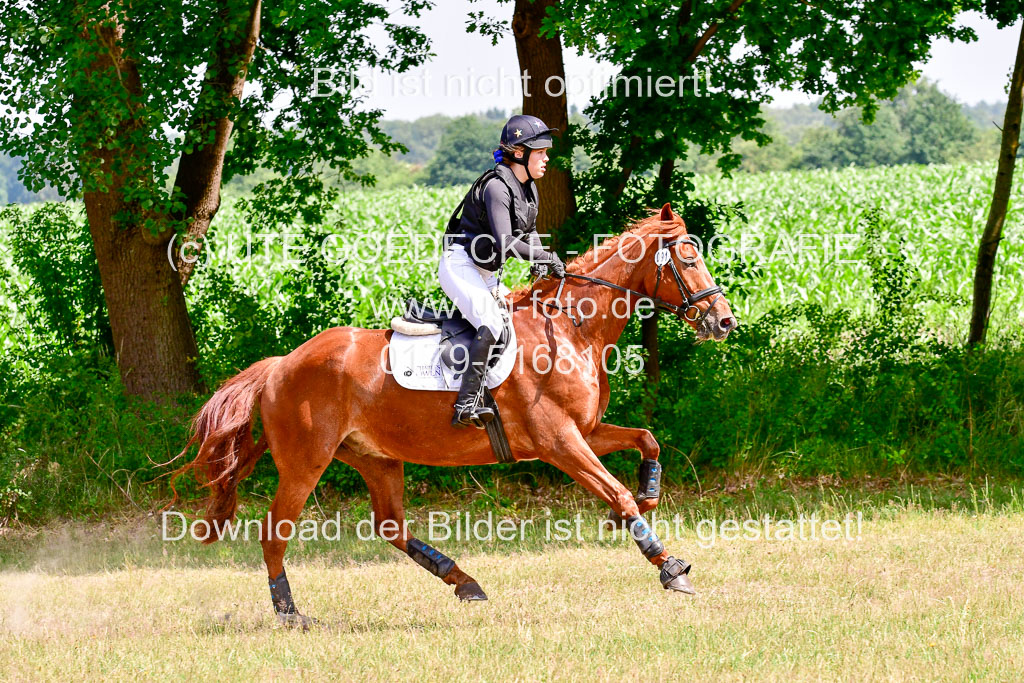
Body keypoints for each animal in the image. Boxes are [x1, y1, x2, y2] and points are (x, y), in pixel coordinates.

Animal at [178, 201, 737, 626]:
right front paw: (670, 568)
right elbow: (614, 488)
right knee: (276, 532)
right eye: (688, 259)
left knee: (390, 526)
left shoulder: (586, 431)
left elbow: (647, 440)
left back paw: (465, 582)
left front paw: (646, 499)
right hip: (305, 462)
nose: (724, 321)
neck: (570, 328)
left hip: (375, 457)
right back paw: (291, 613)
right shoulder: (560, 441)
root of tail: (281, 365)